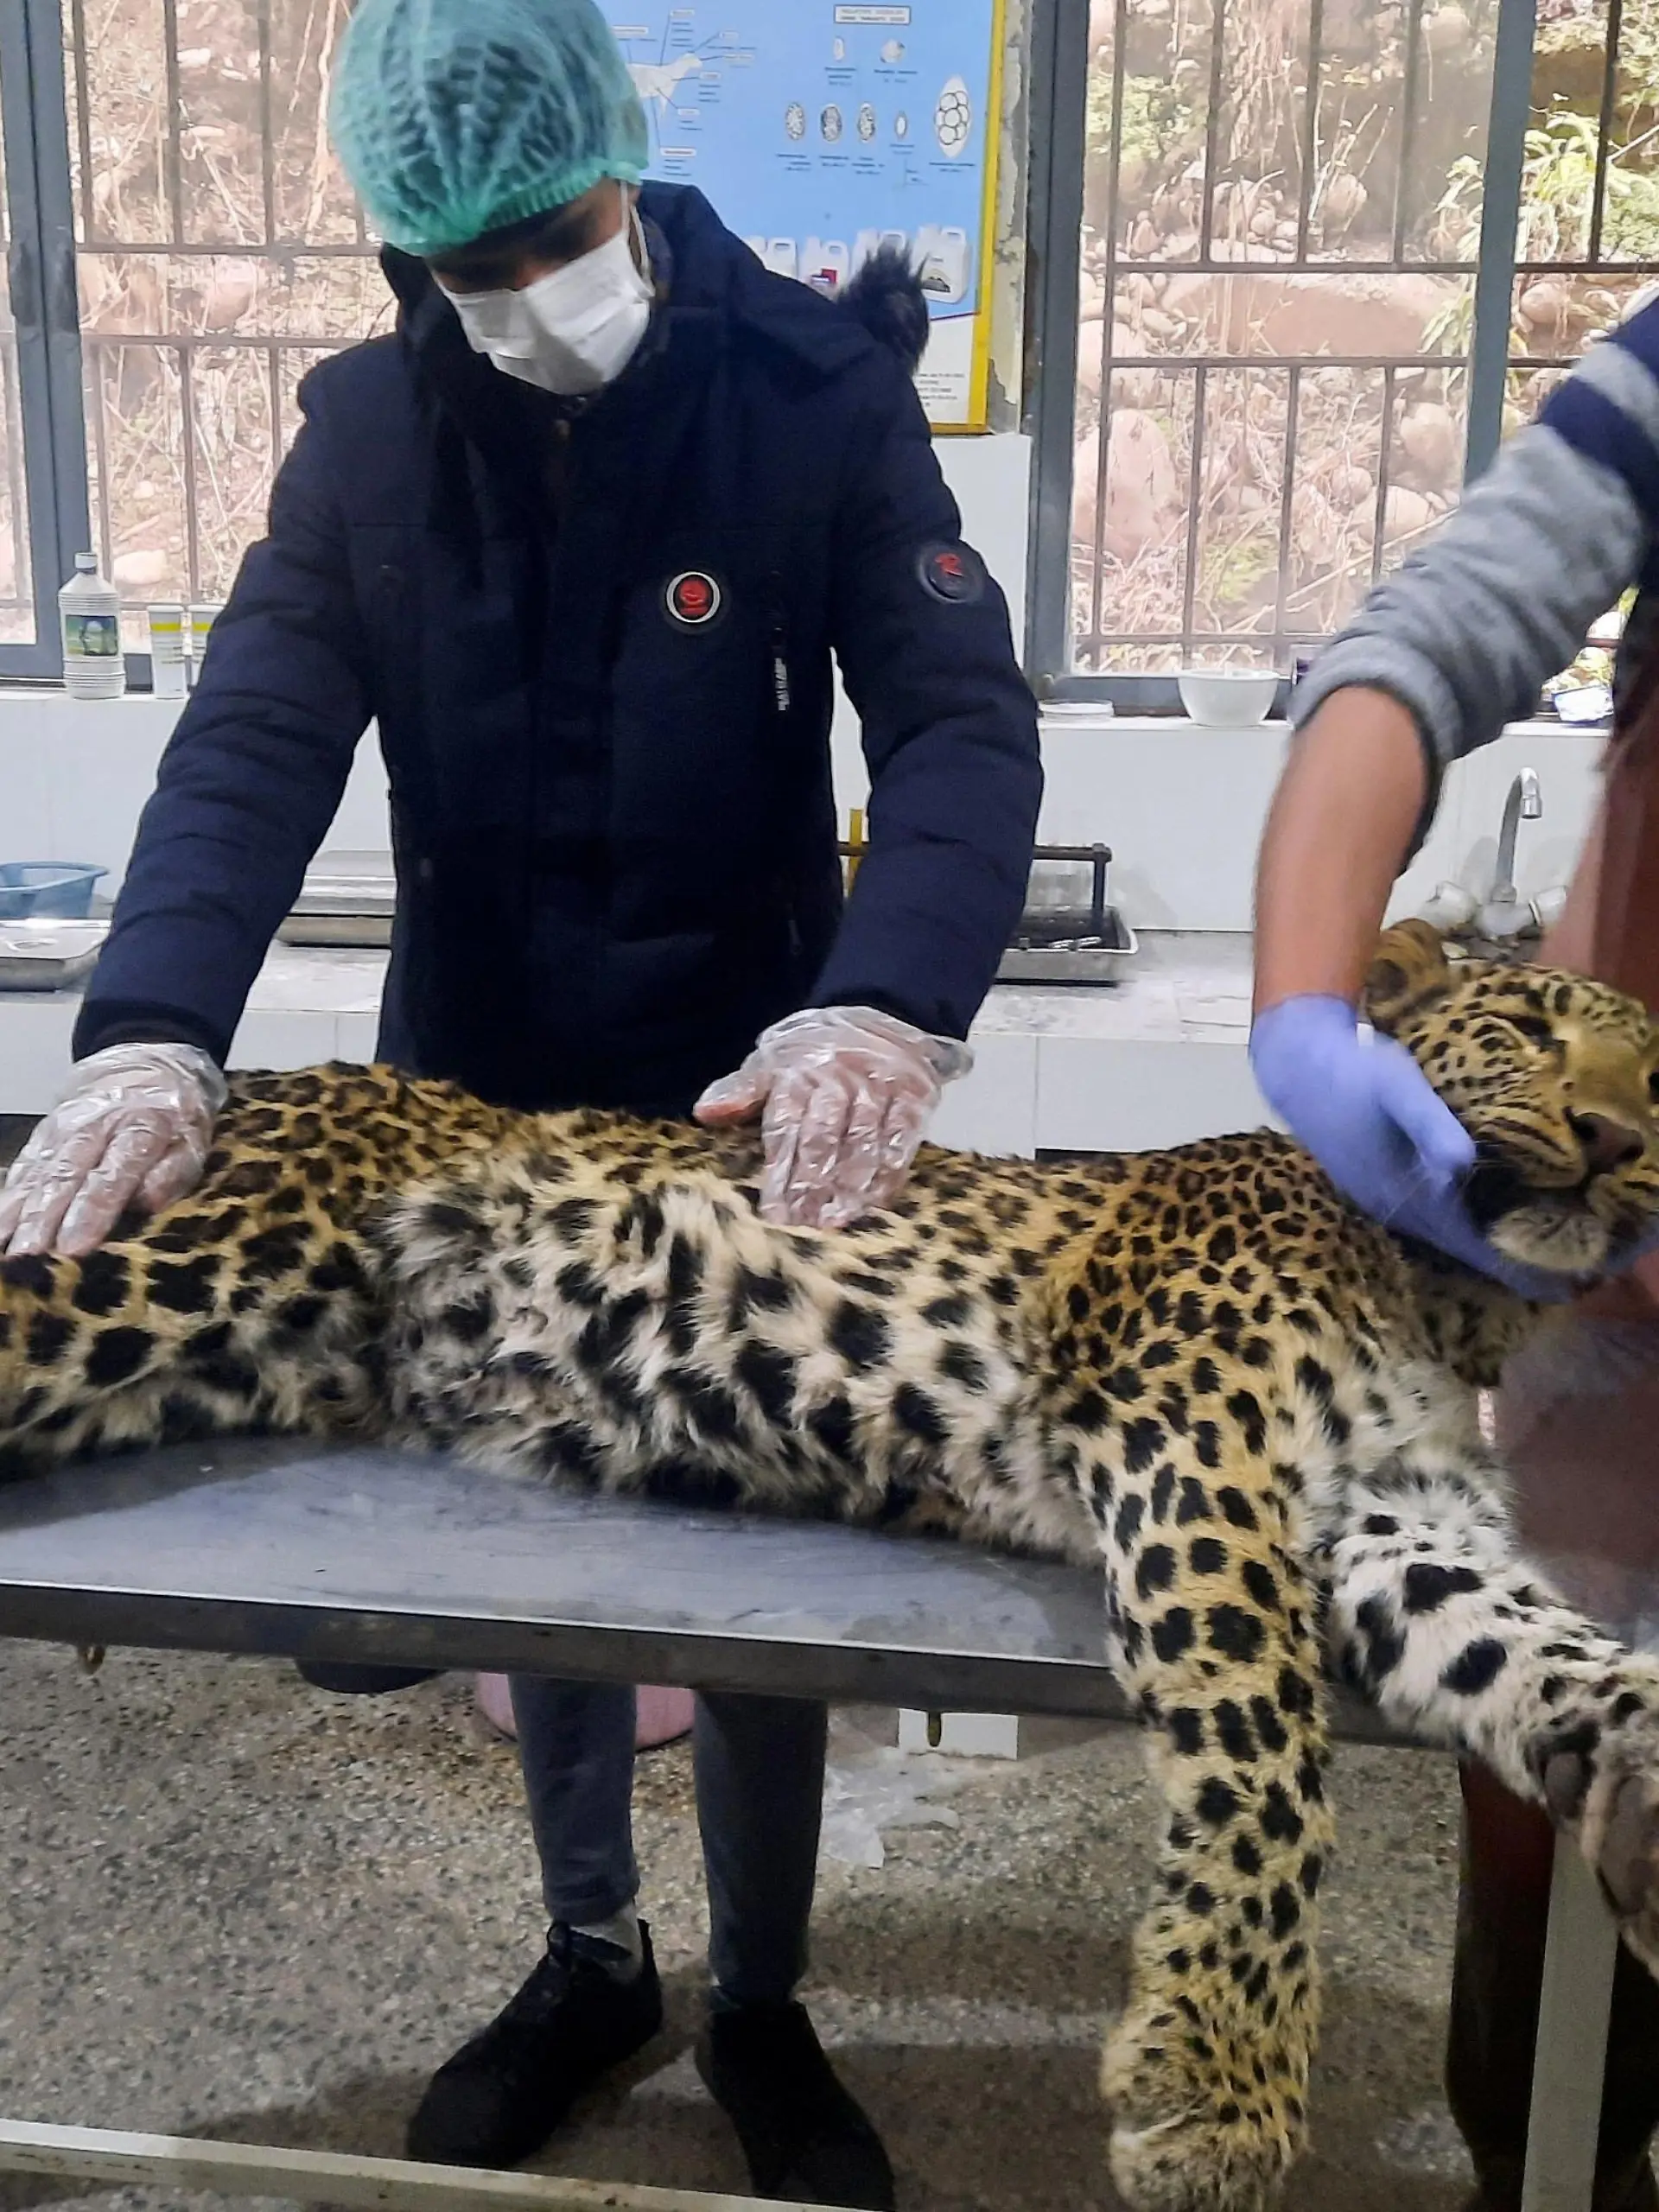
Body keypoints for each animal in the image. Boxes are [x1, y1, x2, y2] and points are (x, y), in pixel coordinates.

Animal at [5, 915, 1659, 2212]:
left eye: (1656, 1074)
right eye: (1525, 1033)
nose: (1622, 1139)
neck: (1450, 1295)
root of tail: (263, 1083)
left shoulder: (1397, 1522)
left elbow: (1551, 1652)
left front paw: (1635, 1777)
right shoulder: (1193, 1444)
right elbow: (1268, 1760)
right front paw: (1221, 2084)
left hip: (227, 1362)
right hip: (189, 1268)